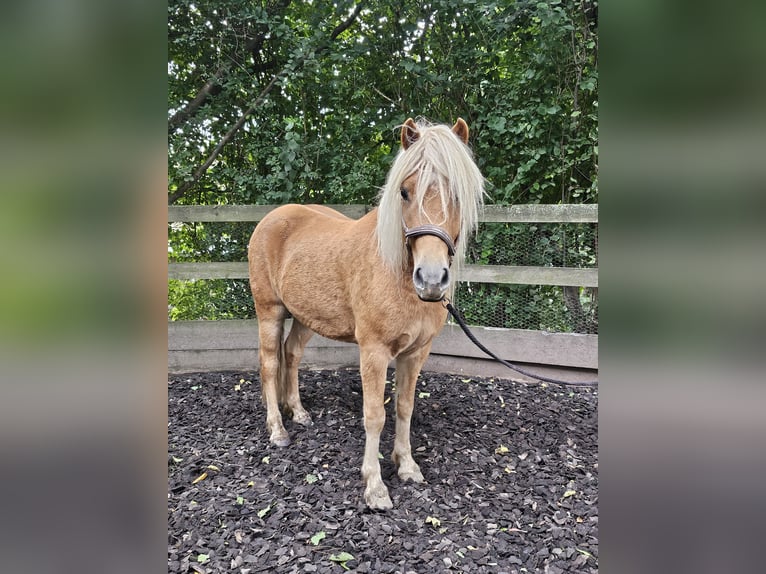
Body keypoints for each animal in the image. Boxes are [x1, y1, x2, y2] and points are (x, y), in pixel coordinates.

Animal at [246, 118, 486, 508]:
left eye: (458, 195)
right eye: (404, 192)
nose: (431, 279)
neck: (396, 272)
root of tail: (273, 218)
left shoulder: (416, 353)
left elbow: (404, 407)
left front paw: (406, 466)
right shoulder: (373, 351)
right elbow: (375, 415)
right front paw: (374, 485)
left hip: (305, 317)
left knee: (291, 355)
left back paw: (298, 412)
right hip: (270, 310)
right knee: (269, 363)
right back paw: (278, 430)